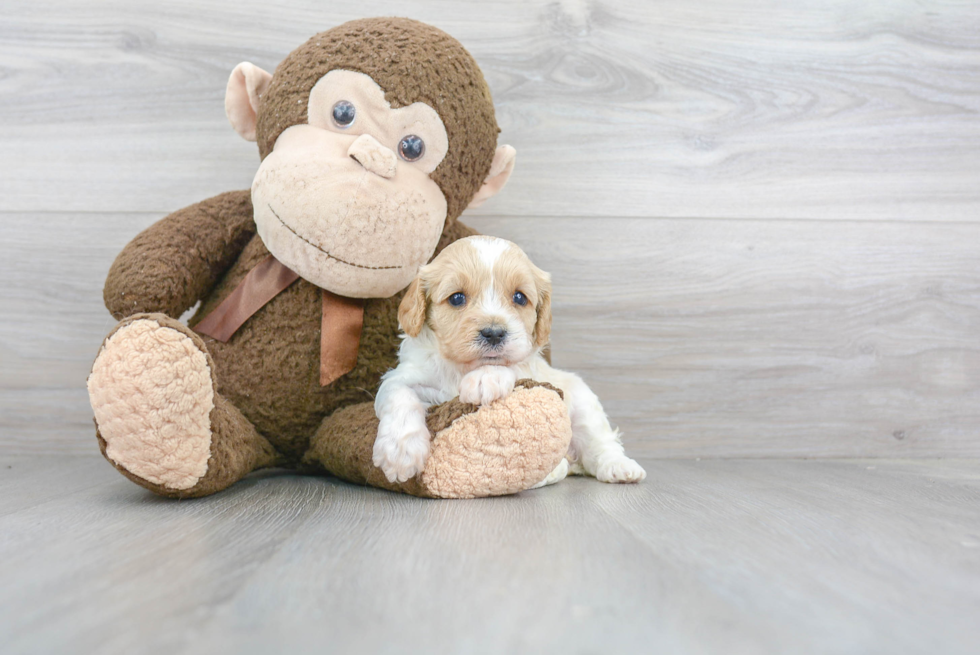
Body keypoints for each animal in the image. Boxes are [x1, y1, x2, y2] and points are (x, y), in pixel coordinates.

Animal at [372, 234, 648, 486]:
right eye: (457, 298)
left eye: (519, 297)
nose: (494, 333)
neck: (463, 368)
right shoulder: (407, 374)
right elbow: (398, 392)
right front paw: (400, 452)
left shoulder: (530, 365)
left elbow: (513, 365)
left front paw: (485, 378)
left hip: (583, 403)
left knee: (600, 442)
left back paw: (619, 467)